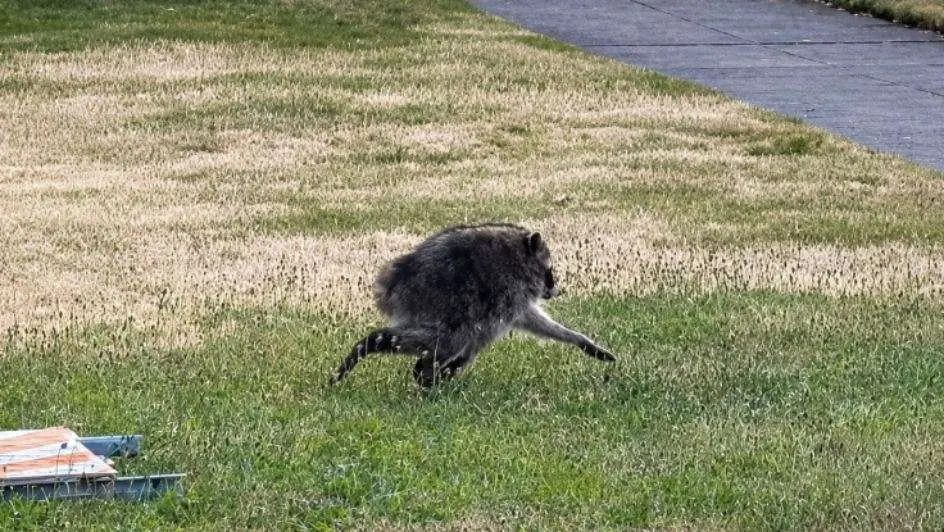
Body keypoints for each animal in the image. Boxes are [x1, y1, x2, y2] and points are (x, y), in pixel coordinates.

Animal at [331, 223, 615, 388]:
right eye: (550, 271)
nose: (555, 289)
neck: (519, 254)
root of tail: (394, 279)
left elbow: (532, 321)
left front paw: (578, 339)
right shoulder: (507, 291)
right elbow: (489, 333)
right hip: (440, 299)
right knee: (450, 338)